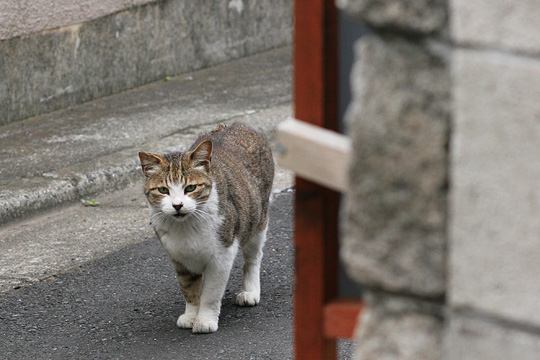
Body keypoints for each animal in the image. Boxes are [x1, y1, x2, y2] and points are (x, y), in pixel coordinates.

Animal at [139, 122, 274, 334]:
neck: (186, 227)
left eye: (190, 188)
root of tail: (238, 124)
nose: (177, 205)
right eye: (162, 190)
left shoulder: (222, 256)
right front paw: (191, 315)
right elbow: (189, 289)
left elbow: (210, 293)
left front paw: (204, 320)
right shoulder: (179, 258)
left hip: (258, 219)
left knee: (253, 257)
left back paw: (250, 291)